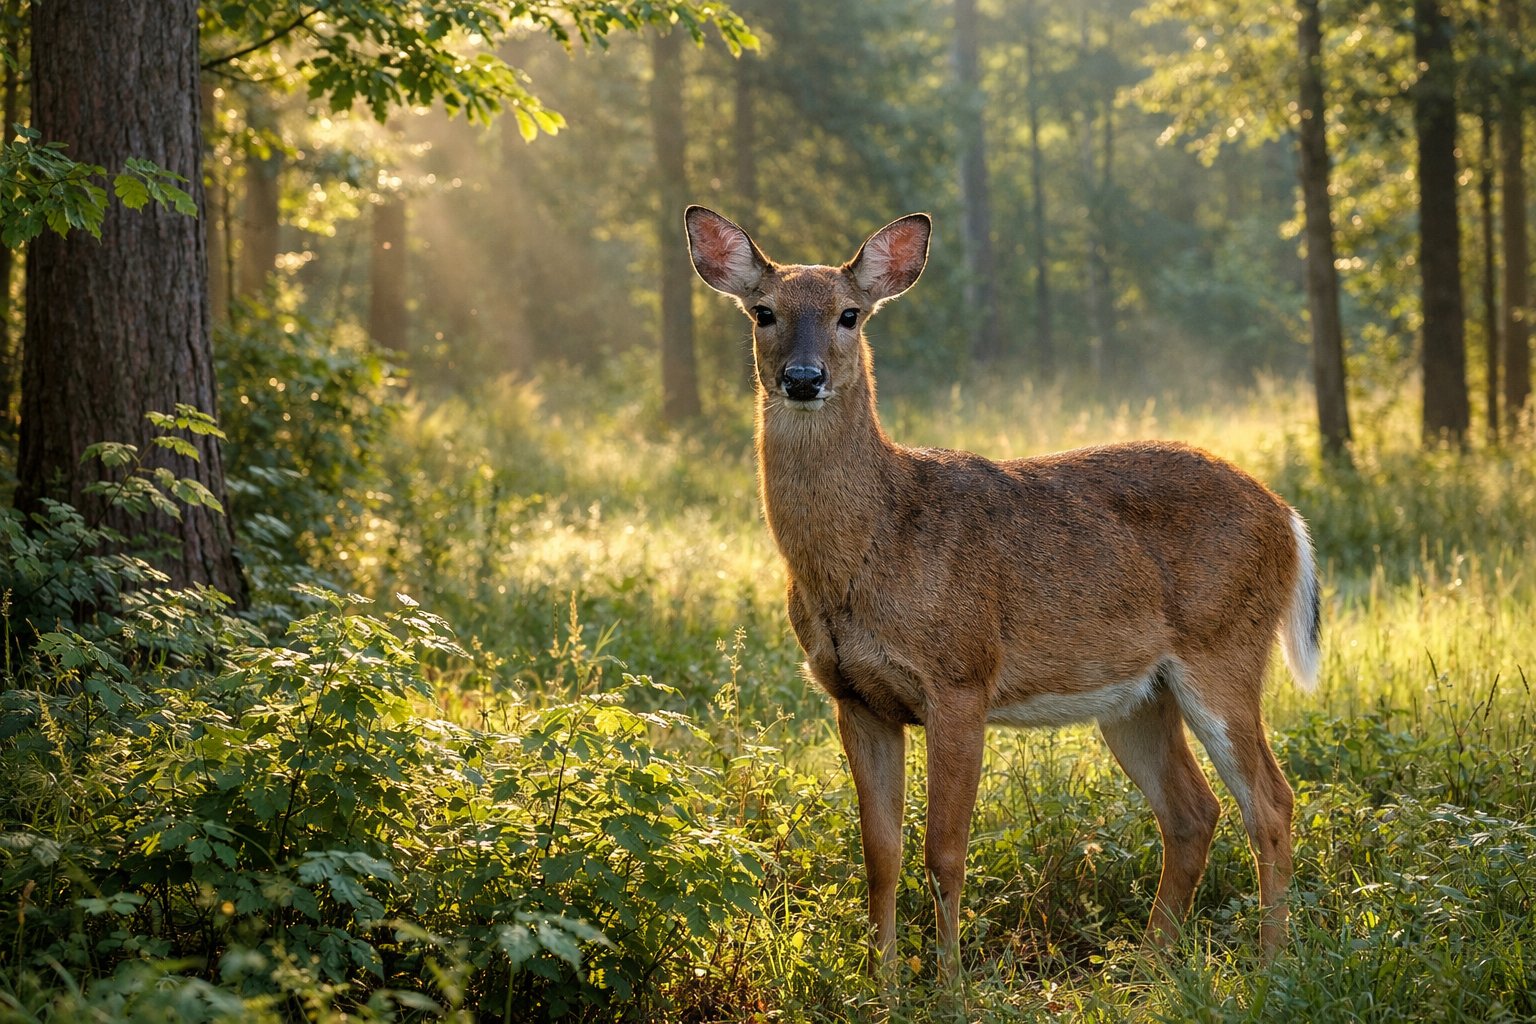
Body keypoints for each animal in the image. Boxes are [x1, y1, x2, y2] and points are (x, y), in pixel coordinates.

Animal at [683, 206, 1320, 976]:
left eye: (849, 315)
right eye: (764, 312)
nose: (803, 378)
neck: (870, 548)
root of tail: (1287, 517)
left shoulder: (962, 675)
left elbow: (945, 853)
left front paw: (950, 985)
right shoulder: (854, 697)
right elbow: (880, 856)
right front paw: (882, 982)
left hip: (1223, 648)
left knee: (1272, 802)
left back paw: (1272, 966)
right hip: (1137, 695)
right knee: (1194, 813)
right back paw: (1147, 970)